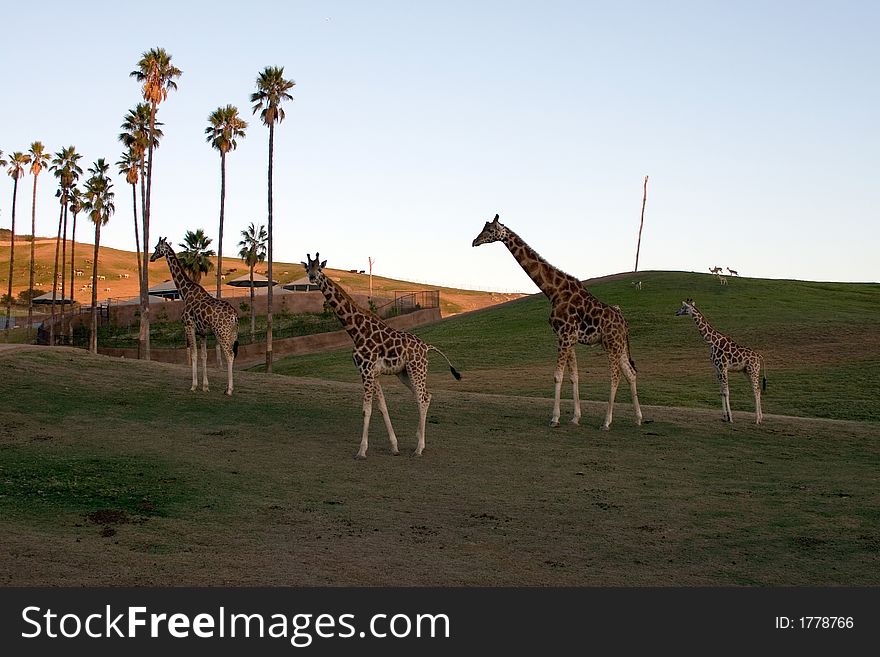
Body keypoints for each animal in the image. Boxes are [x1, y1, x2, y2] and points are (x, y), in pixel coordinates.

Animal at [151, 238, 239, 398]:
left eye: (156, 247)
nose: (151, 258)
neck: (185, 292)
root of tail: (234, 316)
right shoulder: (203, 333)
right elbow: (204, 356)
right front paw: (205, 387)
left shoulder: (188, 326)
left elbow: (193, 355)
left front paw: (193, 386)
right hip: (232, 333)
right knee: (233, 354)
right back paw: (226, 388)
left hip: (221, 333)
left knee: (229, 355)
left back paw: (229, 390)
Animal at [302, 254, 460, 458]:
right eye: (307, 268)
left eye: (319, 268)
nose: (312, 277)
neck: (355, 331)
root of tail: (427, 346)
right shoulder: (373, 373)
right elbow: (382, 407)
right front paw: (394, 446)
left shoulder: (366, 371)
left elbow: (366, 410)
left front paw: (361, 451)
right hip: (404, 373)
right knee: (426, 395)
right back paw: (419, 440)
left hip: (416, 369)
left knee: (423, 398)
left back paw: (419, 448)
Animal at [474, 213, 640, 428]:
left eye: (490, 230)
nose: (474, 241)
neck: (552, 291)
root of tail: (625, 324)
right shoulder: (569, 338)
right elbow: (574, 376)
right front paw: (575, 417)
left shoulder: (564, 335)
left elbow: (557, 376)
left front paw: (554, 418)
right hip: (617, 345)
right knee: (630, 373)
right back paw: (638, 418)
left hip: (612, 344)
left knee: (616, 376)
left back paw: (606, 422)